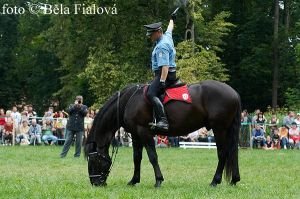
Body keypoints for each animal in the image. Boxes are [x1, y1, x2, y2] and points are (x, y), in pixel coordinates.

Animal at [84, 79, 241, 187]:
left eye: (93, 160)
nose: (95, 183)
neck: (128, 101)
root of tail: (234, 93)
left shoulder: (144, 132)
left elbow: (153, 157)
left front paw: (158, 180)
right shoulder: (136, 135)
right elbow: (137, 158)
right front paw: (134, 180)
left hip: (219, 129)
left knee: (223, 153)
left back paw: (215, 181)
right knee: (232, 152)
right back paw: (234, 179)